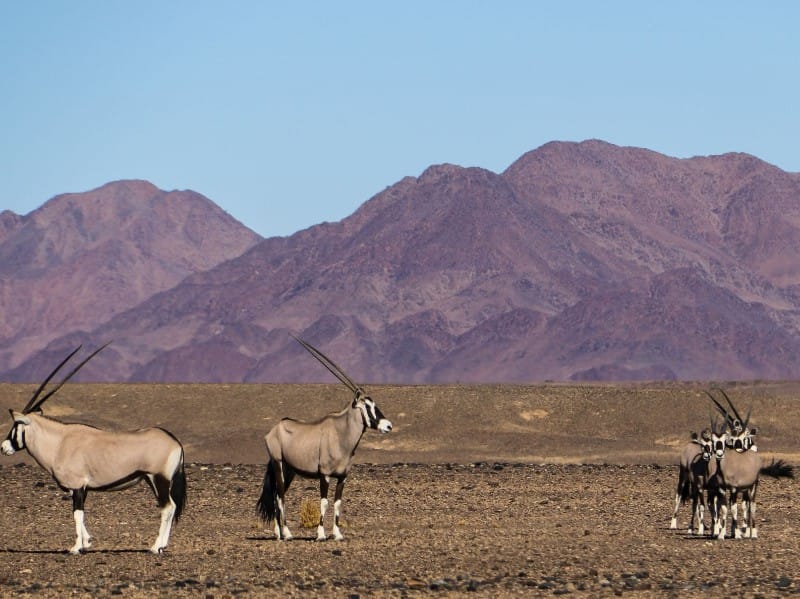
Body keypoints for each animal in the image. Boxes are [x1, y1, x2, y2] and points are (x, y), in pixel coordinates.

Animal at [1, 345, 186, 554]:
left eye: (16, 425)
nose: (3, 447)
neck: (59, 442)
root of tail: (175, 442)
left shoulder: (77, 486)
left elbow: (77, 514)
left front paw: (76, 547)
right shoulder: (81, 488)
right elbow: (80, 514)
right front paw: (87, 542)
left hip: (158, 478)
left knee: (168, 507)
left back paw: (156, 546)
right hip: (151, 479)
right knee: (171, 507)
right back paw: (161, 545)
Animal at [257, 335, 392, 541]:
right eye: (367, 406)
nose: (388, 426)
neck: (341, 434)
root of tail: (274, 429)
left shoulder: (342, 477)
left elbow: (337, 503)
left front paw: (337, 534)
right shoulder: (325, 475)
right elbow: (324, 502)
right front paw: (320, 534)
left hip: (289, 470)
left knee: (276, 496)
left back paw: (278, 533)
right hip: (278, 464)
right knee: (280, 496)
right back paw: (286, 533)